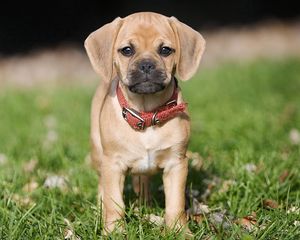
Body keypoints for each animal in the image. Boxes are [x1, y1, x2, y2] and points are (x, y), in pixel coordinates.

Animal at [84, 11, 206, 234]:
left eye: (165, 50)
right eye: (127, 50)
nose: (147, 64)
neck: (147, 113)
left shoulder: (177, 164)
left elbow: (175, 204)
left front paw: (179, 231)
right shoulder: (113, 164)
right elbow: (114, 203)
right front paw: (114, 231)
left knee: (142, 182)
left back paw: (144, 207)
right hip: (98, 154)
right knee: (101, 186)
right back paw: (100, 210)